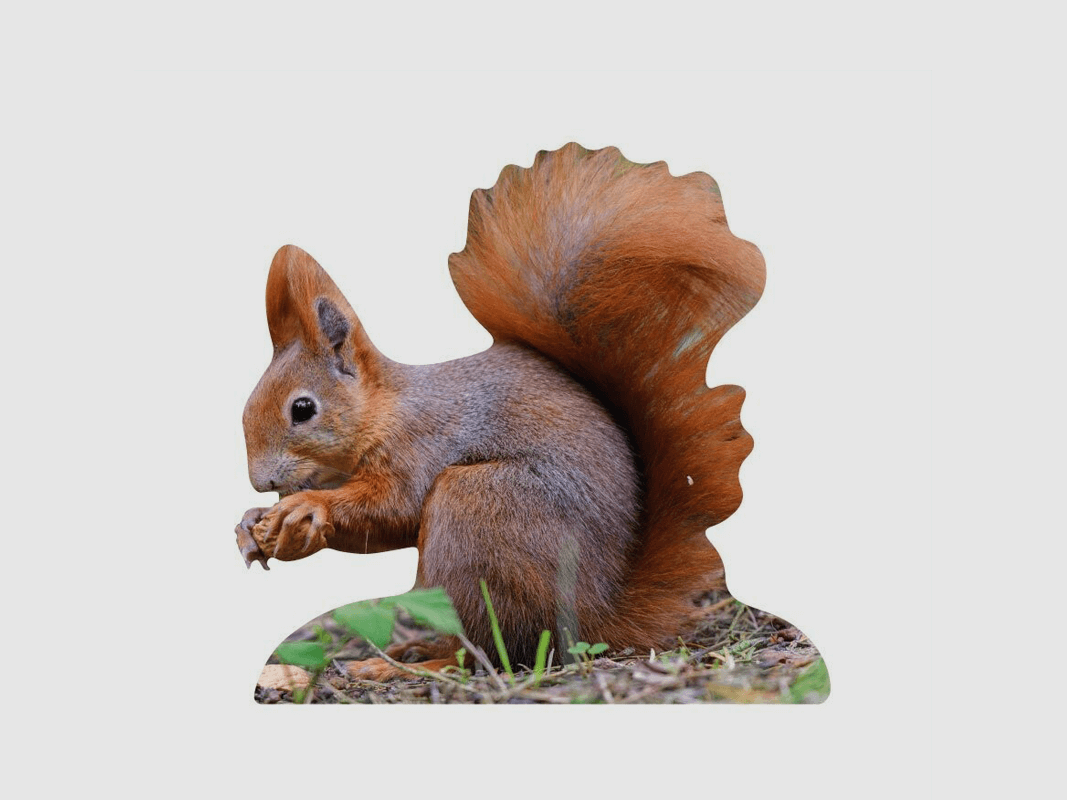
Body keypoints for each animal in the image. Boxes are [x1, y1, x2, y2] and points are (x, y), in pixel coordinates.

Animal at [236, 143, 766, 680]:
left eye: (303, 409)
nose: (260, 482)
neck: (386, 412)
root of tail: (593, 617)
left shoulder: (421, 444)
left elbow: (393, 507)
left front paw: (306, 506)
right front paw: (254, 524)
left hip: (478, 512)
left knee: (489, 651)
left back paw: (406, 666)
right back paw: (414, 650)